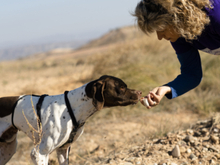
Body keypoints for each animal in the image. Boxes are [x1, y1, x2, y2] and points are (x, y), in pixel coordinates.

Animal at [0, 75, 142, 164]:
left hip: (7, 150)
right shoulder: (39, 153)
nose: (140, 92)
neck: (70, 107)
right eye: (122, 87)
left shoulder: (63, 150)